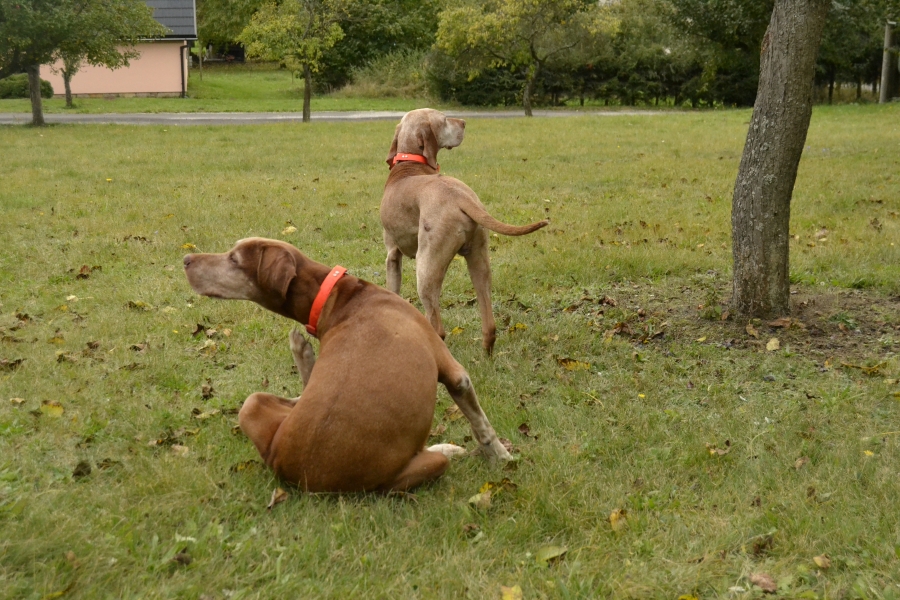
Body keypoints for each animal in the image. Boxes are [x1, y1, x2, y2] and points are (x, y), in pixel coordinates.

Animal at [183, 237, 511, 492]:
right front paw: (503, 457)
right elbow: (481, 425)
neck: (338, 298)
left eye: (233, 258)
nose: (186, 259)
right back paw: (449, 448)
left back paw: (301, 353)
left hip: (252, 406)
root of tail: (291, 468)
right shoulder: (454, 372)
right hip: (418, 469)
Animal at [381, 108, 548, 355]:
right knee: (489, 324)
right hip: (479, 261)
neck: (409, 164)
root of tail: (460, 196)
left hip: (426, 267)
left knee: (438, 328)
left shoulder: (392, 255)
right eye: (444, 120)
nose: (464, 122)